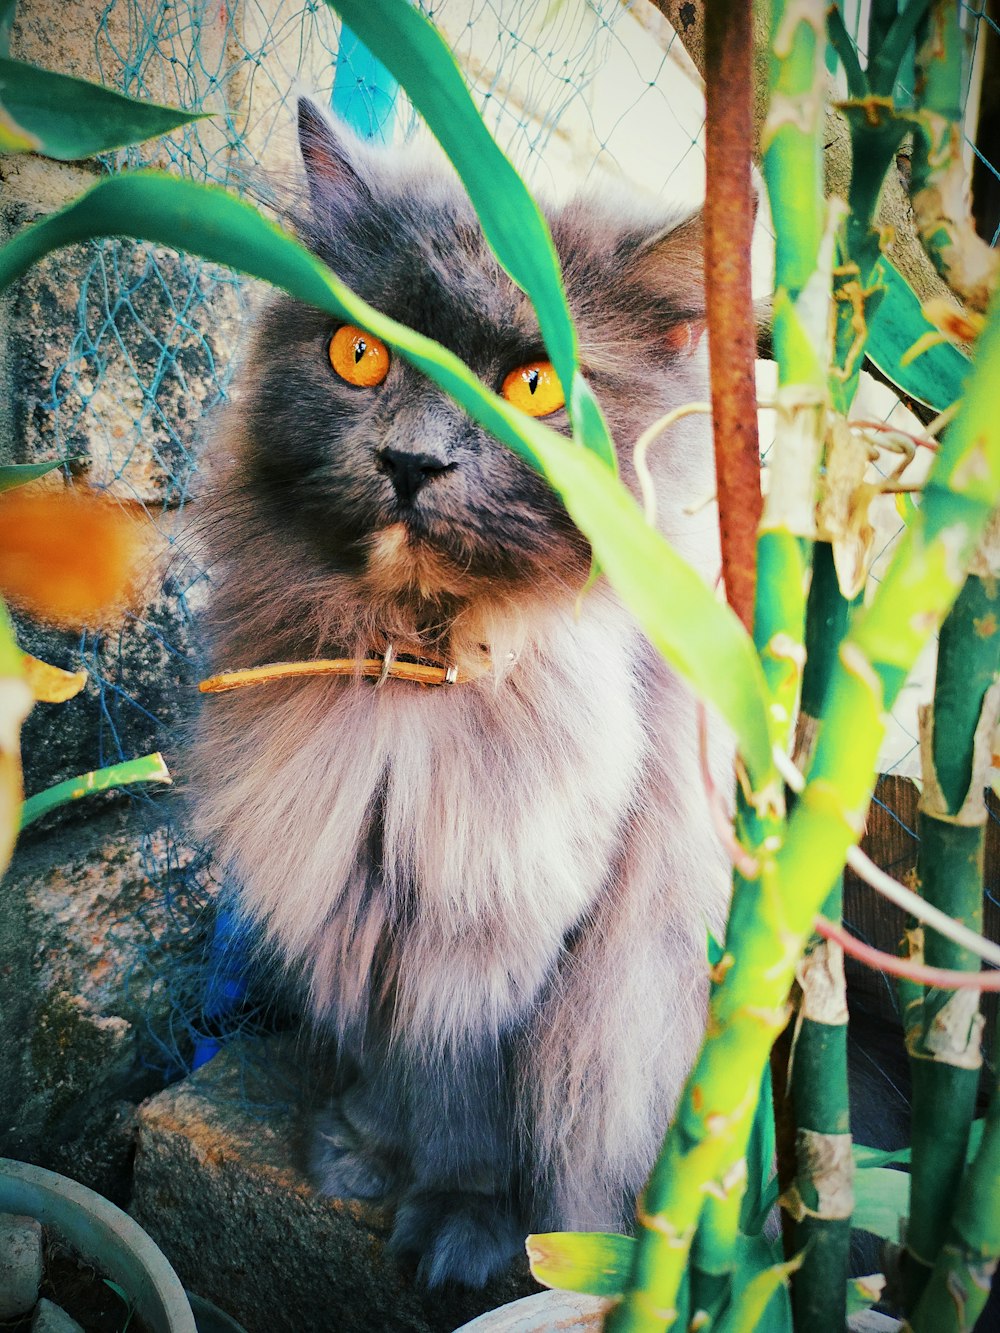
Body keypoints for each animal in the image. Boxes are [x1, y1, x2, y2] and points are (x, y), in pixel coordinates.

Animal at [192, 101, 730, 1290]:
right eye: (357, 355)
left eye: (533, 386)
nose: (411, 461)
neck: (413, 679)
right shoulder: (368, 901)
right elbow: (401, 1073)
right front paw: (362, 1152)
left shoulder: (511, 933)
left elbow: (471, 1100)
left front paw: (469, 1227)